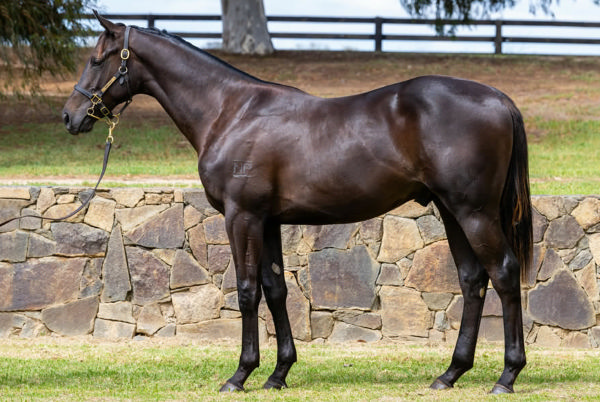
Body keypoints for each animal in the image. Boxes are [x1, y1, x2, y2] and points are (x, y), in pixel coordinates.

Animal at [63, 13, 532, 396]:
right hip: (452, 210)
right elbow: (275, 289)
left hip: (474, 212)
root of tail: (498, 98)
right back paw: (450, 374)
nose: (70, 116)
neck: (229, 112)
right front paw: (278, 374)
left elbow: (247, 291)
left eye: (96, 59)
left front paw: (240, 375)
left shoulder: (242, 217)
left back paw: (506, 376)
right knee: (473, 279)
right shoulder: (267, 221)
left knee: (504, 273)